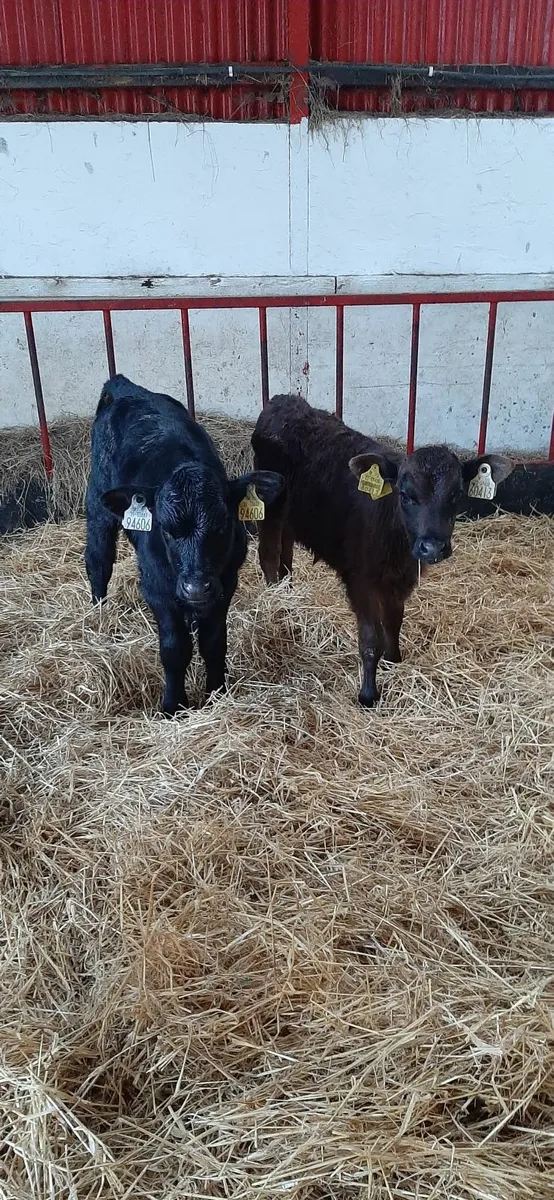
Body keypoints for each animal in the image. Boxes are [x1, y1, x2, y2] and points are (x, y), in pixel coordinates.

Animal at [85, 375, 283, 715]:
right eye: (165, 529)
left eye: (224, 525)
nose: (195, 588)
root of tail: (126, 387)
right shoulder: (158, 588)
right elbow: (175, 649)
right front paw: (173, 705)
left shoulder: (224, 585)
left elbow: (214, 643)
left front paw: (217, 692)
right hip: (98, 502)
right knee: (99, 559)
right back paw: (100, 612)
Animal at [252, 394, 513, 707]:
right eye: (405, 494)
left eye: (456, 495)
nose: (433, 547)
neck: (396, 540)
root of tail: (284, 400)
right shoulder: (359, 582)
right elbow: (370, 639)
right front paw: (368, 693)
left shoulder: (401, 580)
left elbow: (394, 621)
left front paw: (394, 659)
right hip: (270, 507)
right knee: (268, 553)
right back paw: (275, 602)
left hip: (294, 515)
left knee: (286, 553)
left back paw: (288, 595)